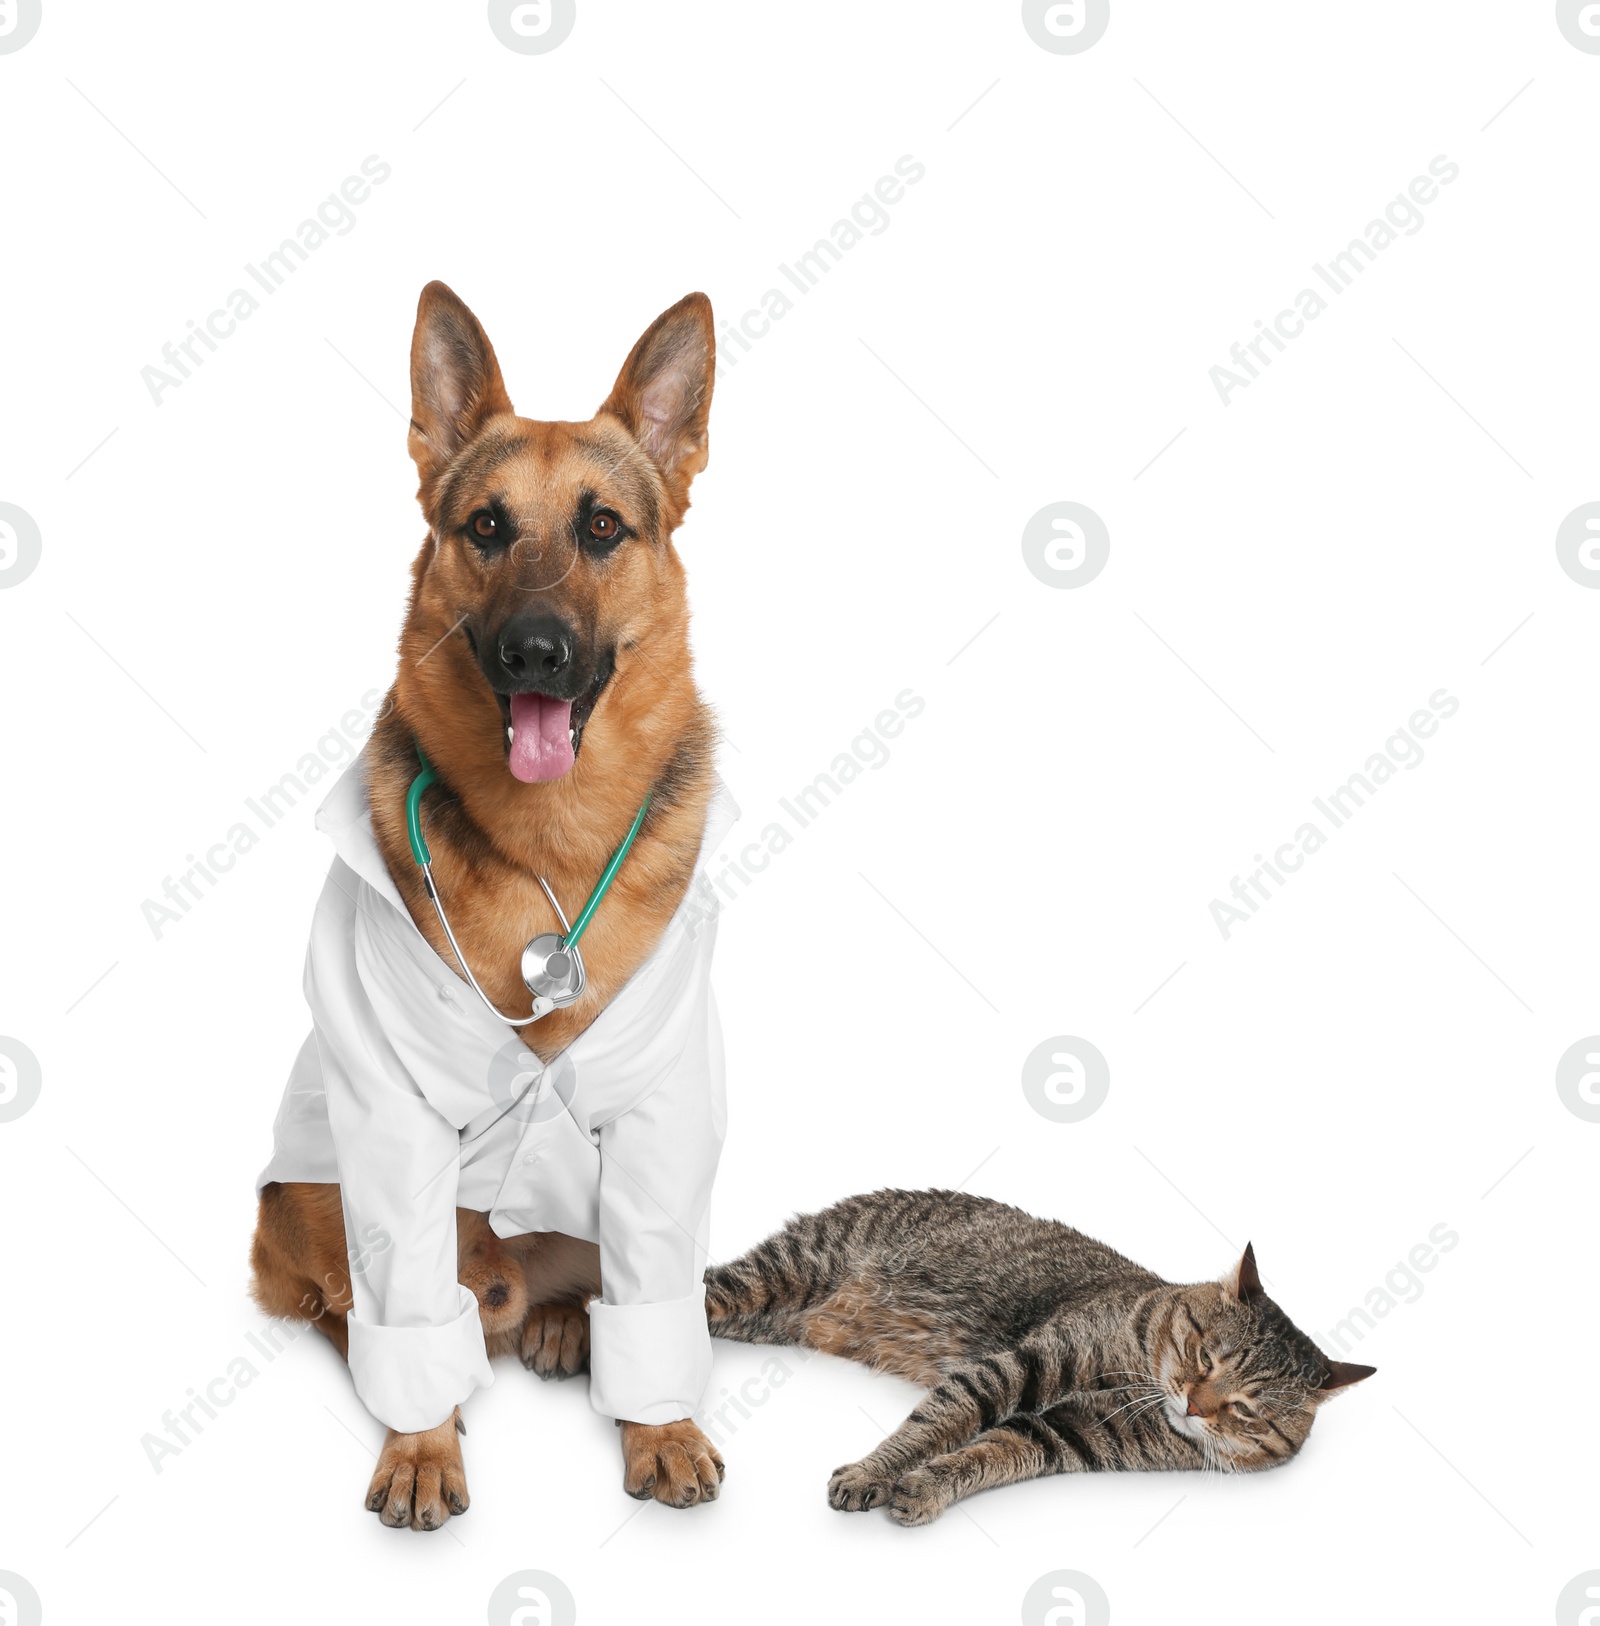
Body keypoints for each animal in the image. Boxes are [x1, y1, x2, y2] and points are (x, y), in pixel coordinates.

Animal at [250, 282, 725, 1521]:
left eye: (601, 528)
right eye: (486, 529)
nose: (535, 652)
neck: (545, 849)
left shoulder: (665, 1112)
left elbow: (654, 1291)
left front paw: (659, 1429)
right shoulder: (389, 1117)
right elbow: (408, 1313)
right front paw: (421, 1449)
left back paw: (560, 1323)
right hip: (304, 1195)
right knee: (357, 1304)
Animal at [705, 1196, 1365, 1521]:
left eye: (1247, 1410)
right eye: (1205, 1357)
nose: (1195, 1408)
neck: (1141, 1378)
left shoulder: (1070, 1433)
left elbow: (991, 1452)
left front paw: (924, 1487)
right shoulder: (1022, 1366)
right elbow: (936, 1422)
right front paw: (873, 1471)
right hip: (776, 1277)